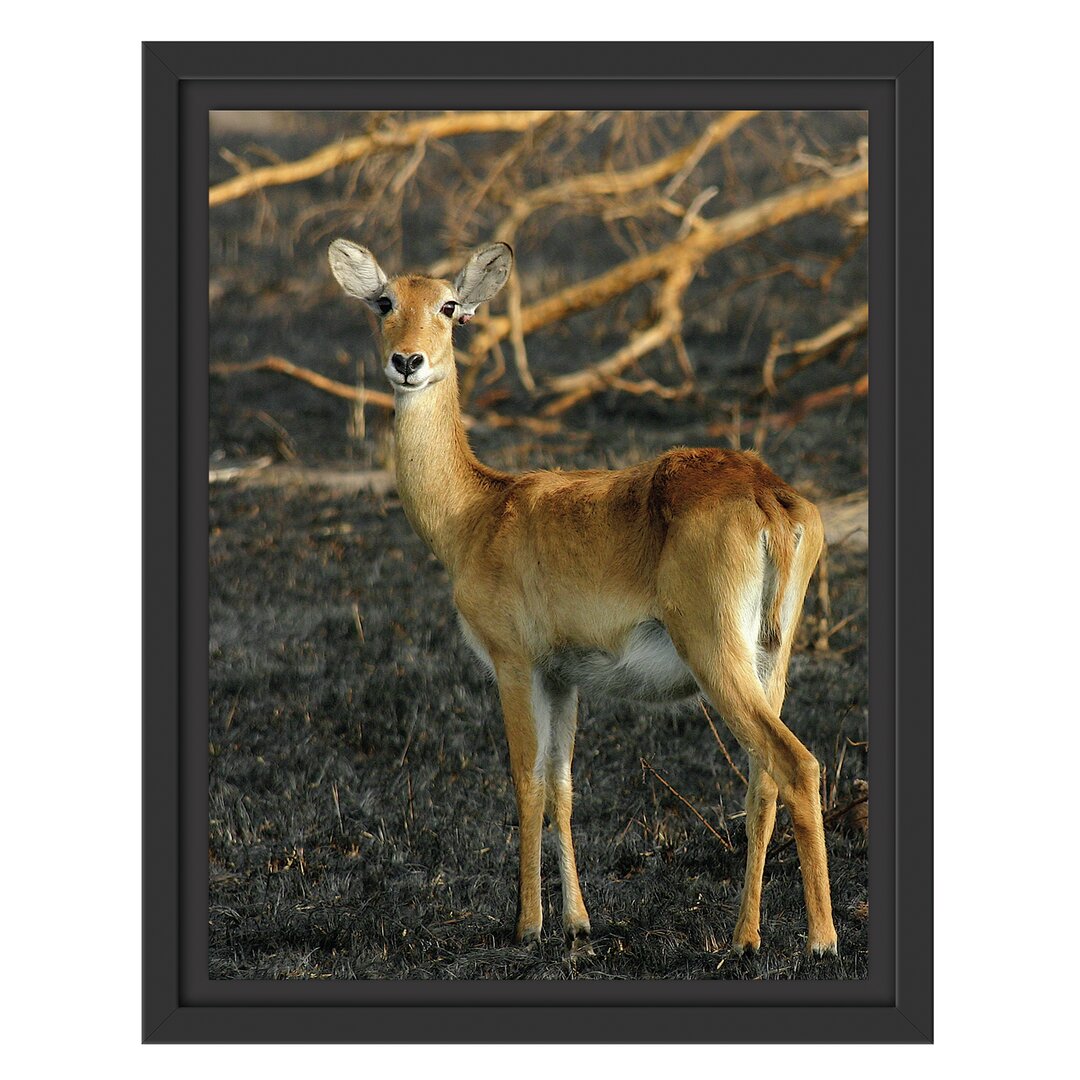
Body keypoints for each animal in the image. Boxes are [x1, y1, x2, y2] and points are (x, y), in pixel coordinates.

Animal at [332, 238, 838, 954]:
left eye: (449, 305)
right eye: (384, 301)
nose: (408, 362)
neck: (476, 512)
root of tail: (769, 495)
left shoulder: (514, 664)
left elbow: (527, 781)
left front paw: (527, 925)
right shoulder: (563, 676)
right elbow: (564, 785)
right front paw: (577, 920)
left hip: (717, 654)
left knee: (797, 764)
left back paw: (820, 938)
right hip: (774, 657)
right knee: (763, 779)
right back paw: (744, 936)